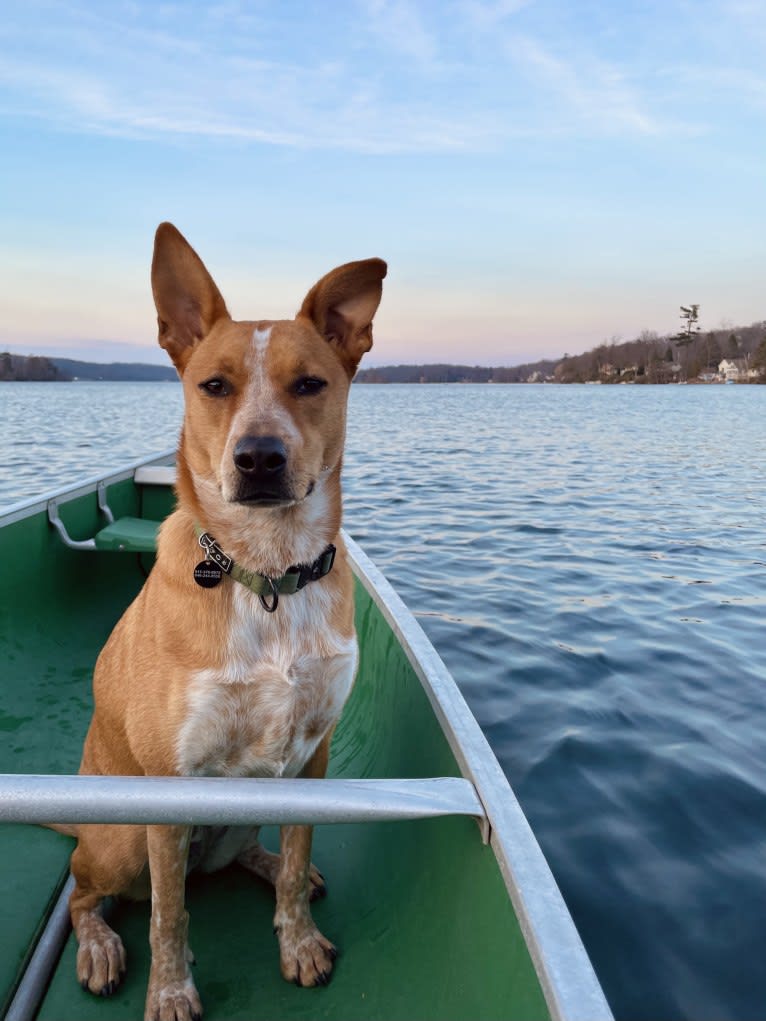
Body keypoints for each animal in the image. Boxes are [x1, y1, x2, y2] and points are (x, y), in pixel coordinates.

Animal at [65, 225, 386, 1021]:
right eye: (214, 385)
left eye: (310, 384)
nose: (259, 458)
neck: (265, 573)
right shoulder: (170, 787)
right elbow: (168, 915)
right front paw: (170, 989)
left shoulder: (313, 753)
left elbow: (299, 856)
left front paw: (298, 938)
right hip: (119, 843)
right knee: (92, 892)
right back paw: (98, 943)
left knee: (241, 856)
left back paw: (267, 865)